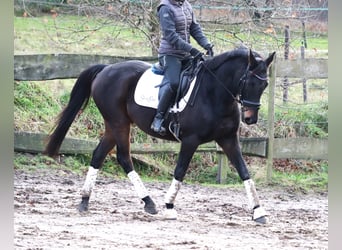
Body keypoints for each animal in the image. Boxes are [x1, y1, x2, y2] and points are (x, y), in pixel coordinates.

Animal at [44, 47, 276, 224]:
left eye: (264, 84)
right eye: (248, 82)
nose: (250, 119)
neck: (214, 93)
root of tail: (106, 69)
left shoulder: (228, 140)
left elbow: (244, 172)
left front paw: (258, 212)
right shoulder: (190, 140)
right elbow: (180, 171)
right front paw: (169, 207)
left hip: (114, 125)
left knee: (99, 155)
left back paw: (86, 200)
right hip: (119, 123)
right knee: (124, 157)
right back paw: (149, 202)